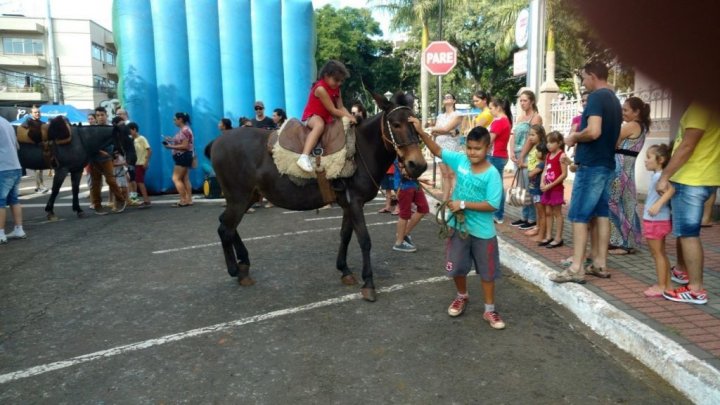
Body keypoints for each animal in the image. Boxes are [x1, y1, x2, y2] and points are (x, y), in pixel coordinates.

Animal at [205, 91, 424, 300]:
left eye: (415, 123)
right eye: (396, 124)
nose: (418, 165)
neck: (360, 150)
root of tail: (217, 141)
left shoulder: (348, 203)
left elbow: (345, 235)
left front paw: (344, 269)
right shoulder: (355, 202)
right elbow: (364, 240)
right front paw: (368, 283)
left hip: (247, 197)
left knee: (227, 224)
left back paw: (243, 263)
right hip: (239, 198)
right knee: (225, 228)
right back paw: (236, 269)